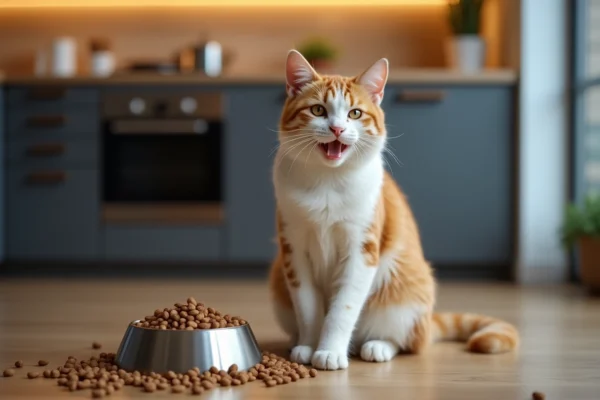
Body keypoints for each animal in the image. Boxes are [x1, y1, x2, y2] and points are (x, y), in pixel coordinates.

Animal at [270, 50, 516, 372]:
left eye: (355, 114)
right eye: (318, 110)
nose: (337, 129)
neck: (328, 181)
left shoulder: (362, 250)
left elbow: (342, 308)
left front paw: (329, 351)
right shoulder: (294, 249)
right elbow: (308, 307)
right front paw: (309, 346)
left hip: (405, 292)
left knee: (408, 341)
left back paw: (378, 346)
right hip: (278, 278)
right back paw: (297, 341)